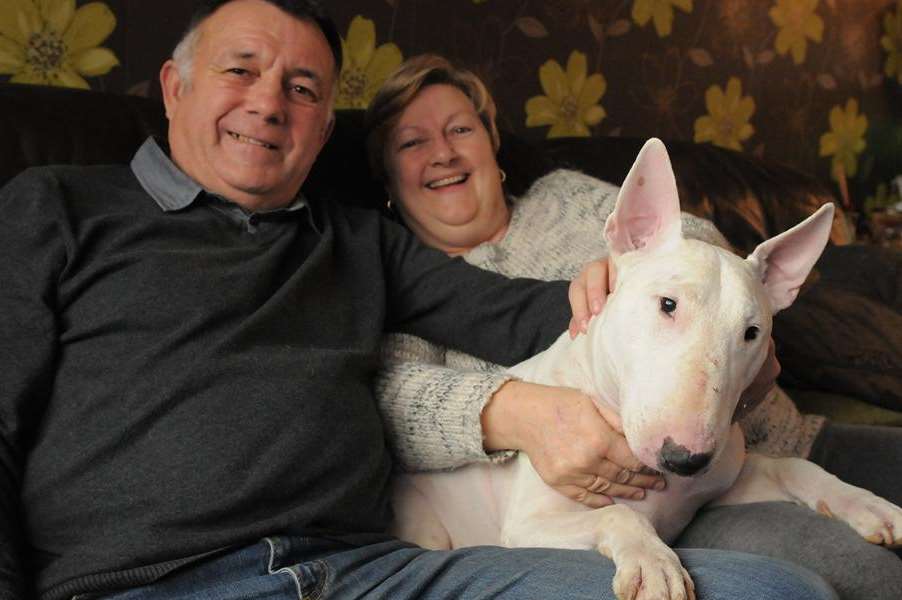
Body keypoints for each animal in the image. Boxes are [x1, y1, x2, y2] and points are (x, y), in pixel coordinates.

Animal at [394, 138, 902, 596]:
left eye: (752, 333)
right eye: (668, 304)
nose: (685, 459)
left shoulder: (726, 485)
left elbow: (794, 465)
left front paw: (868, 506)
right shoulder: (528, 525)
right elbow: (620, 513)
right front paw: (655, 565)